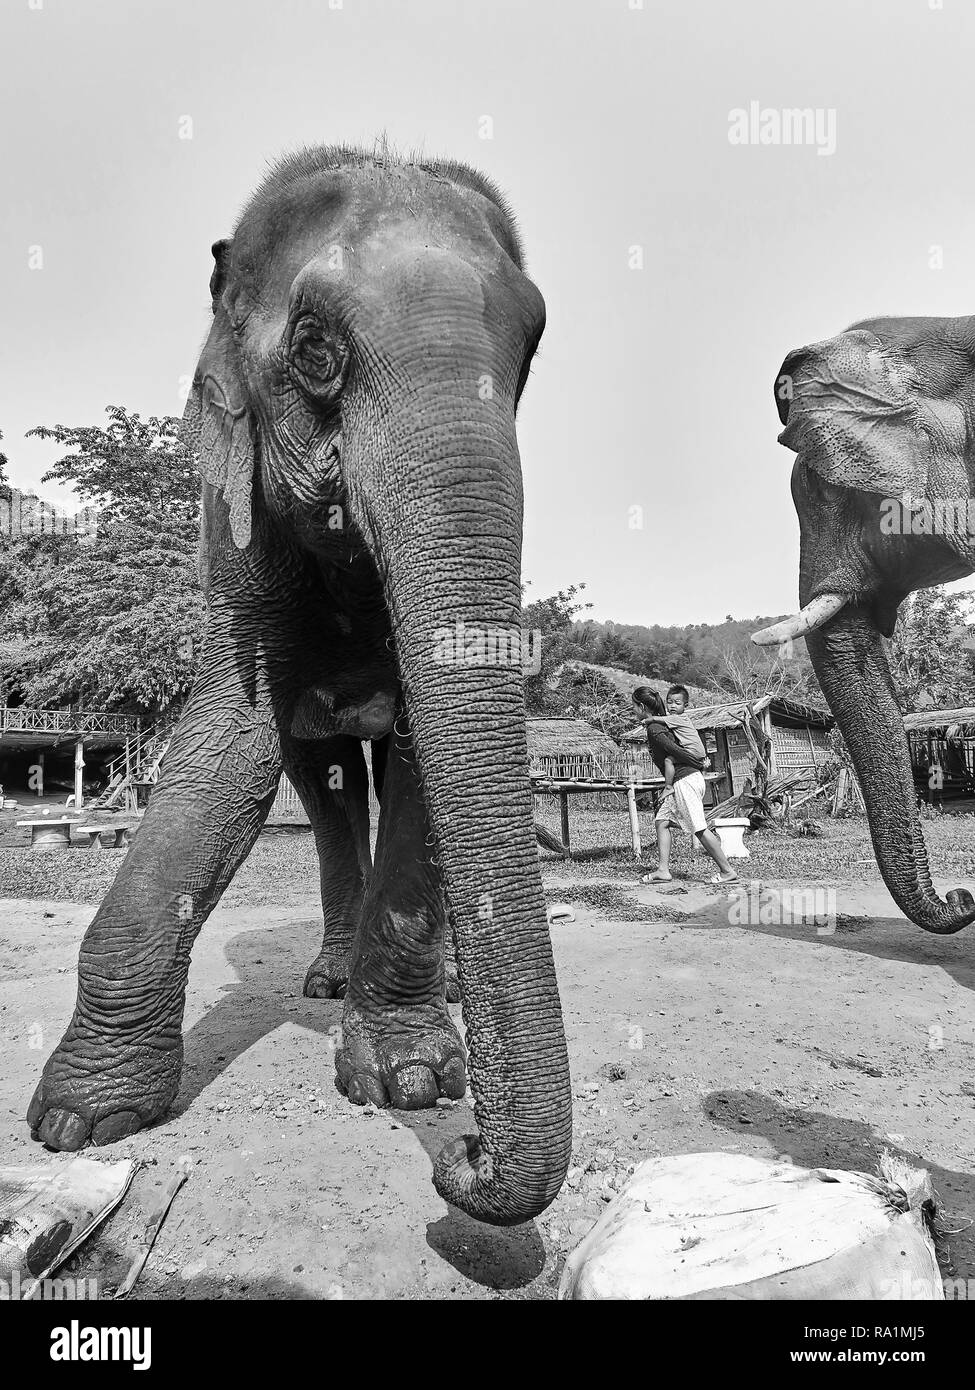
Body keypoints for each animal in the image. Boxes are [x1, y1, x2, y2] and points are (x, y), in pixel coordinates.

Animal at [28, 143, 570, 1228]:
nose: (469, 1151)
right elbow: (229, 742)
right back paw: (327, 977)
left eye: (530, 354)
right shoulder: (229, 520)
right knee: (323, 785)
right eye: (315, 350)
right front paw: (76, 1120)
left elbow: (419, 752)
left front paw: (411, 1079)